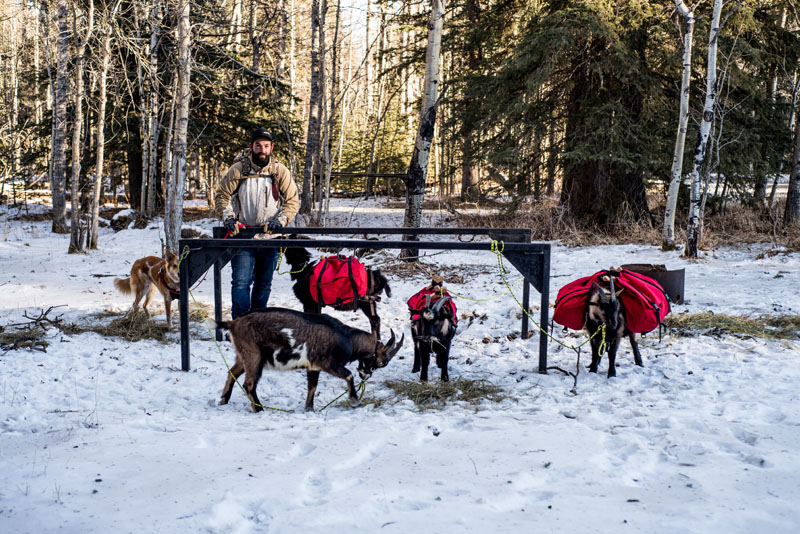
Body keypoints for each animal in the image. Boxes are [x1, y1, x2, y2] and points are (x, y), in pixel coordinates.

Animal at [217, 308, 400, 412]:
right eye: (381, 362)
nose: (366, 375)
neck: (347, 339)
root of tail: (233, 323)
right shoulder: (329, 364)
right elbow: (348, 375)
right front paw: (355, 402)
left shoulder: (314, 366)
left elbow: (312, 386)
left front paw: (309, 409)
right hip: (254, 356)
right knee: (249, 384)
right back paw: (260, 409)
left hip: (243, 356)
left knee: (231, 373)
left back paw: (223, 401)